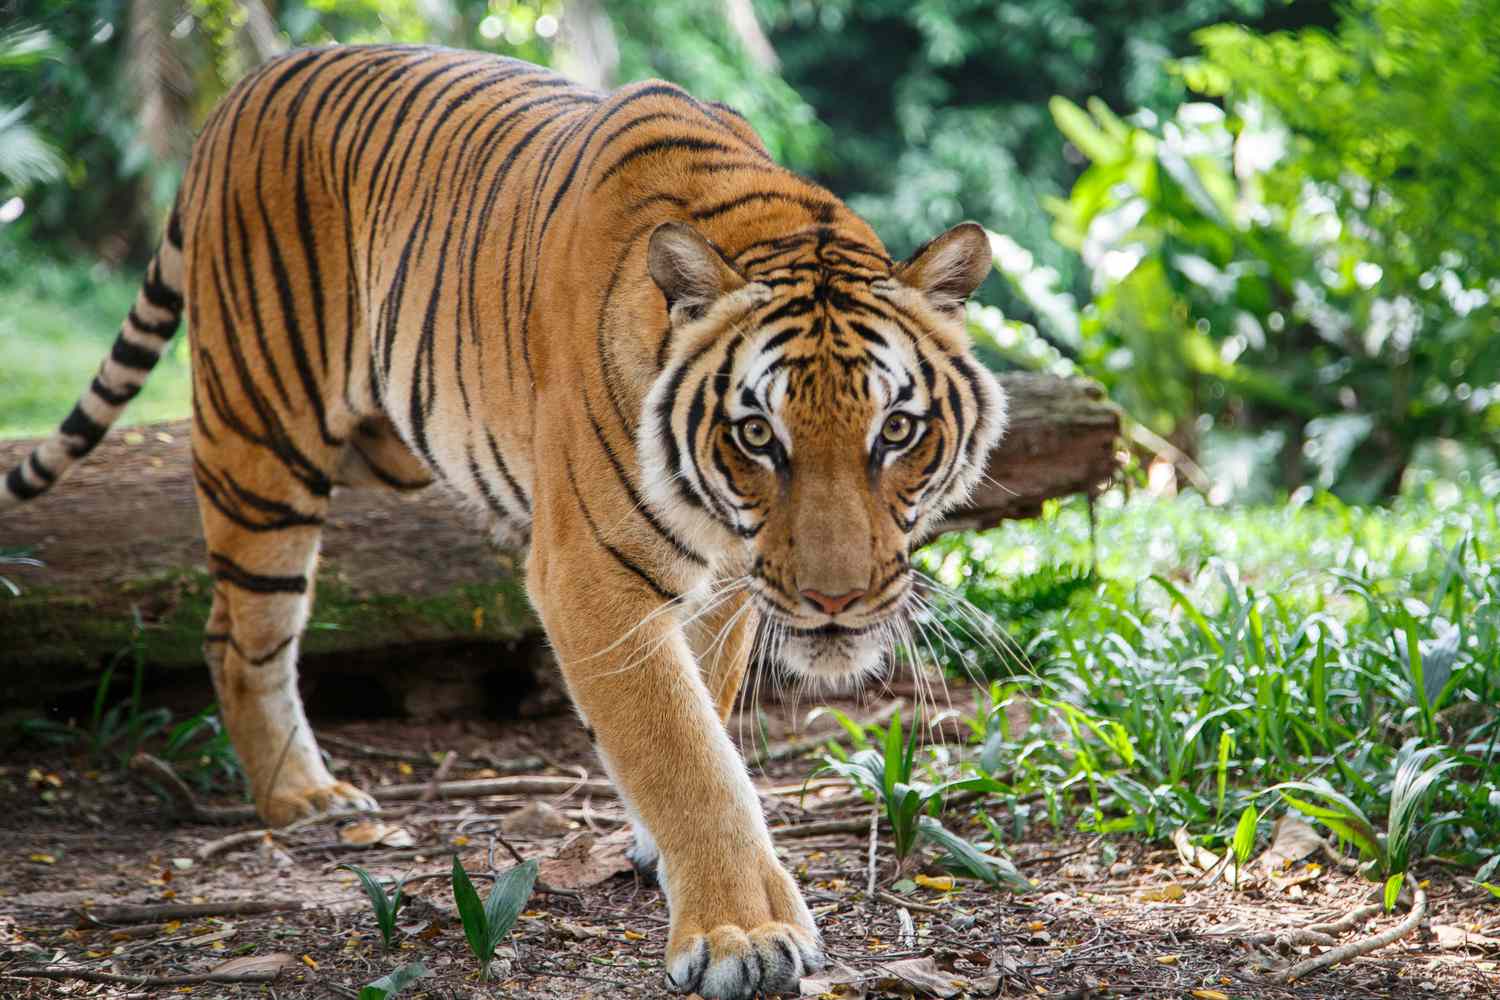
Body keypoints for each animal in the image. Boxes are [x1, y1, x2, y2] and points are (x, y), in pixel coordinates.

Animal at [1, 44, 1005, 999]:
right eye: (759, 435)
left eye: (897, 430)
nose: (836, 601)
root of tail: (243, 90)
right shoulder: (589, 575)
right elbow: (686, 756)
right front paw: (742, 936)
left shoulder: (728, 584)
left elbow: (705, 715)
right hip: (260, 440)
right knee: (239, 632)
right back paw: (304, 796)